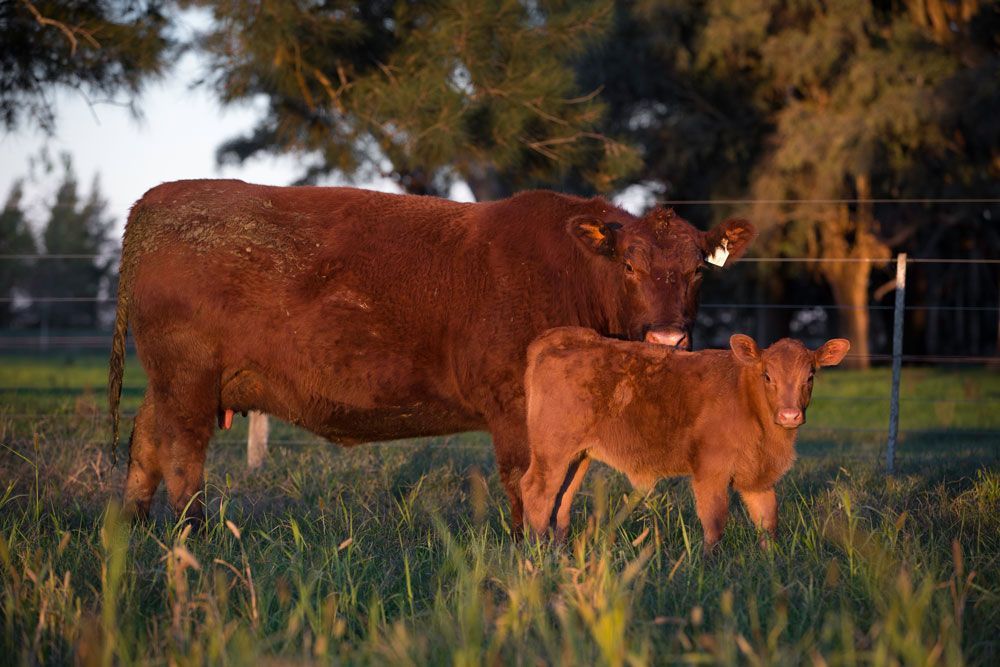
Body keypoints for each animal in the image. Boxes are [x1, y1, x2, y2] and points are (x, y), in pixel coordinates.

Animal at [107, 180, 756, 528]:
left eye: (699, 270)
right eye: (628, 266)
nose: (667, 339)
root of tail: (152, 205)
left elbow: (565, 483)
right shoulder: (514, 406)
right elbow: (527, 480)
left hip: (169, 382)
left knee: (145, 444)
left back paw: (133, 531)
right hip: (188, 378)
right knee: (183, 457)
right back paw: (193, 538)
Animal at [520, 327, 849, 550]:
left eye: (810, 376)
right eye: (767, 375)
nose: (790, 415)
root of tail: (565, 336)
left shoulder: (758, 478)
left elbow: (768, 523)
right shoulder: (710, 471)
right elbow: (714, 523)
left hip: (579, 455)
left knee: (562, 498)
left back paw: (558, 551)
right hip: (552, 449)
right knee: (537, 490)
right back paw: (537, 551)